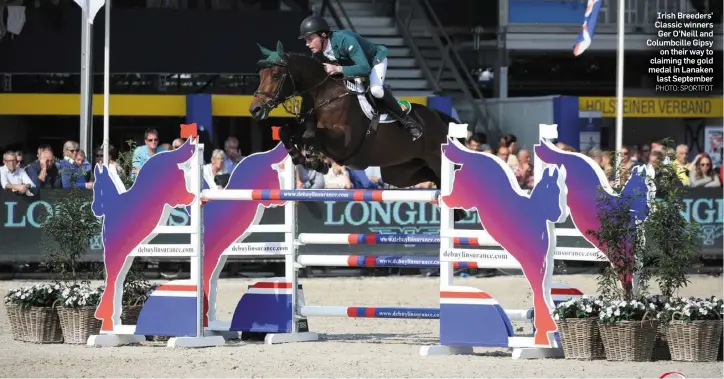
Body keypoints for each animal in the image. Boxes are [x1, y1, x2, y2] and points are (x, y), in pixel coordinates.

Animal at [247, 41, 464, 196]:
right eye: (260, 73)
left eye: (276, 74)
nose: (255, 110)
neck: (323, 95)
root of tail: (438, 118)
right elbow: (287, 131)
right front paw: (306, 159)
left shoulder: (344, 142)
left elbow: (311, 135)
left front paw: (314, 159)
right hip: (400, 172)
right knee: (430, 178)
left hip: (436, 159)